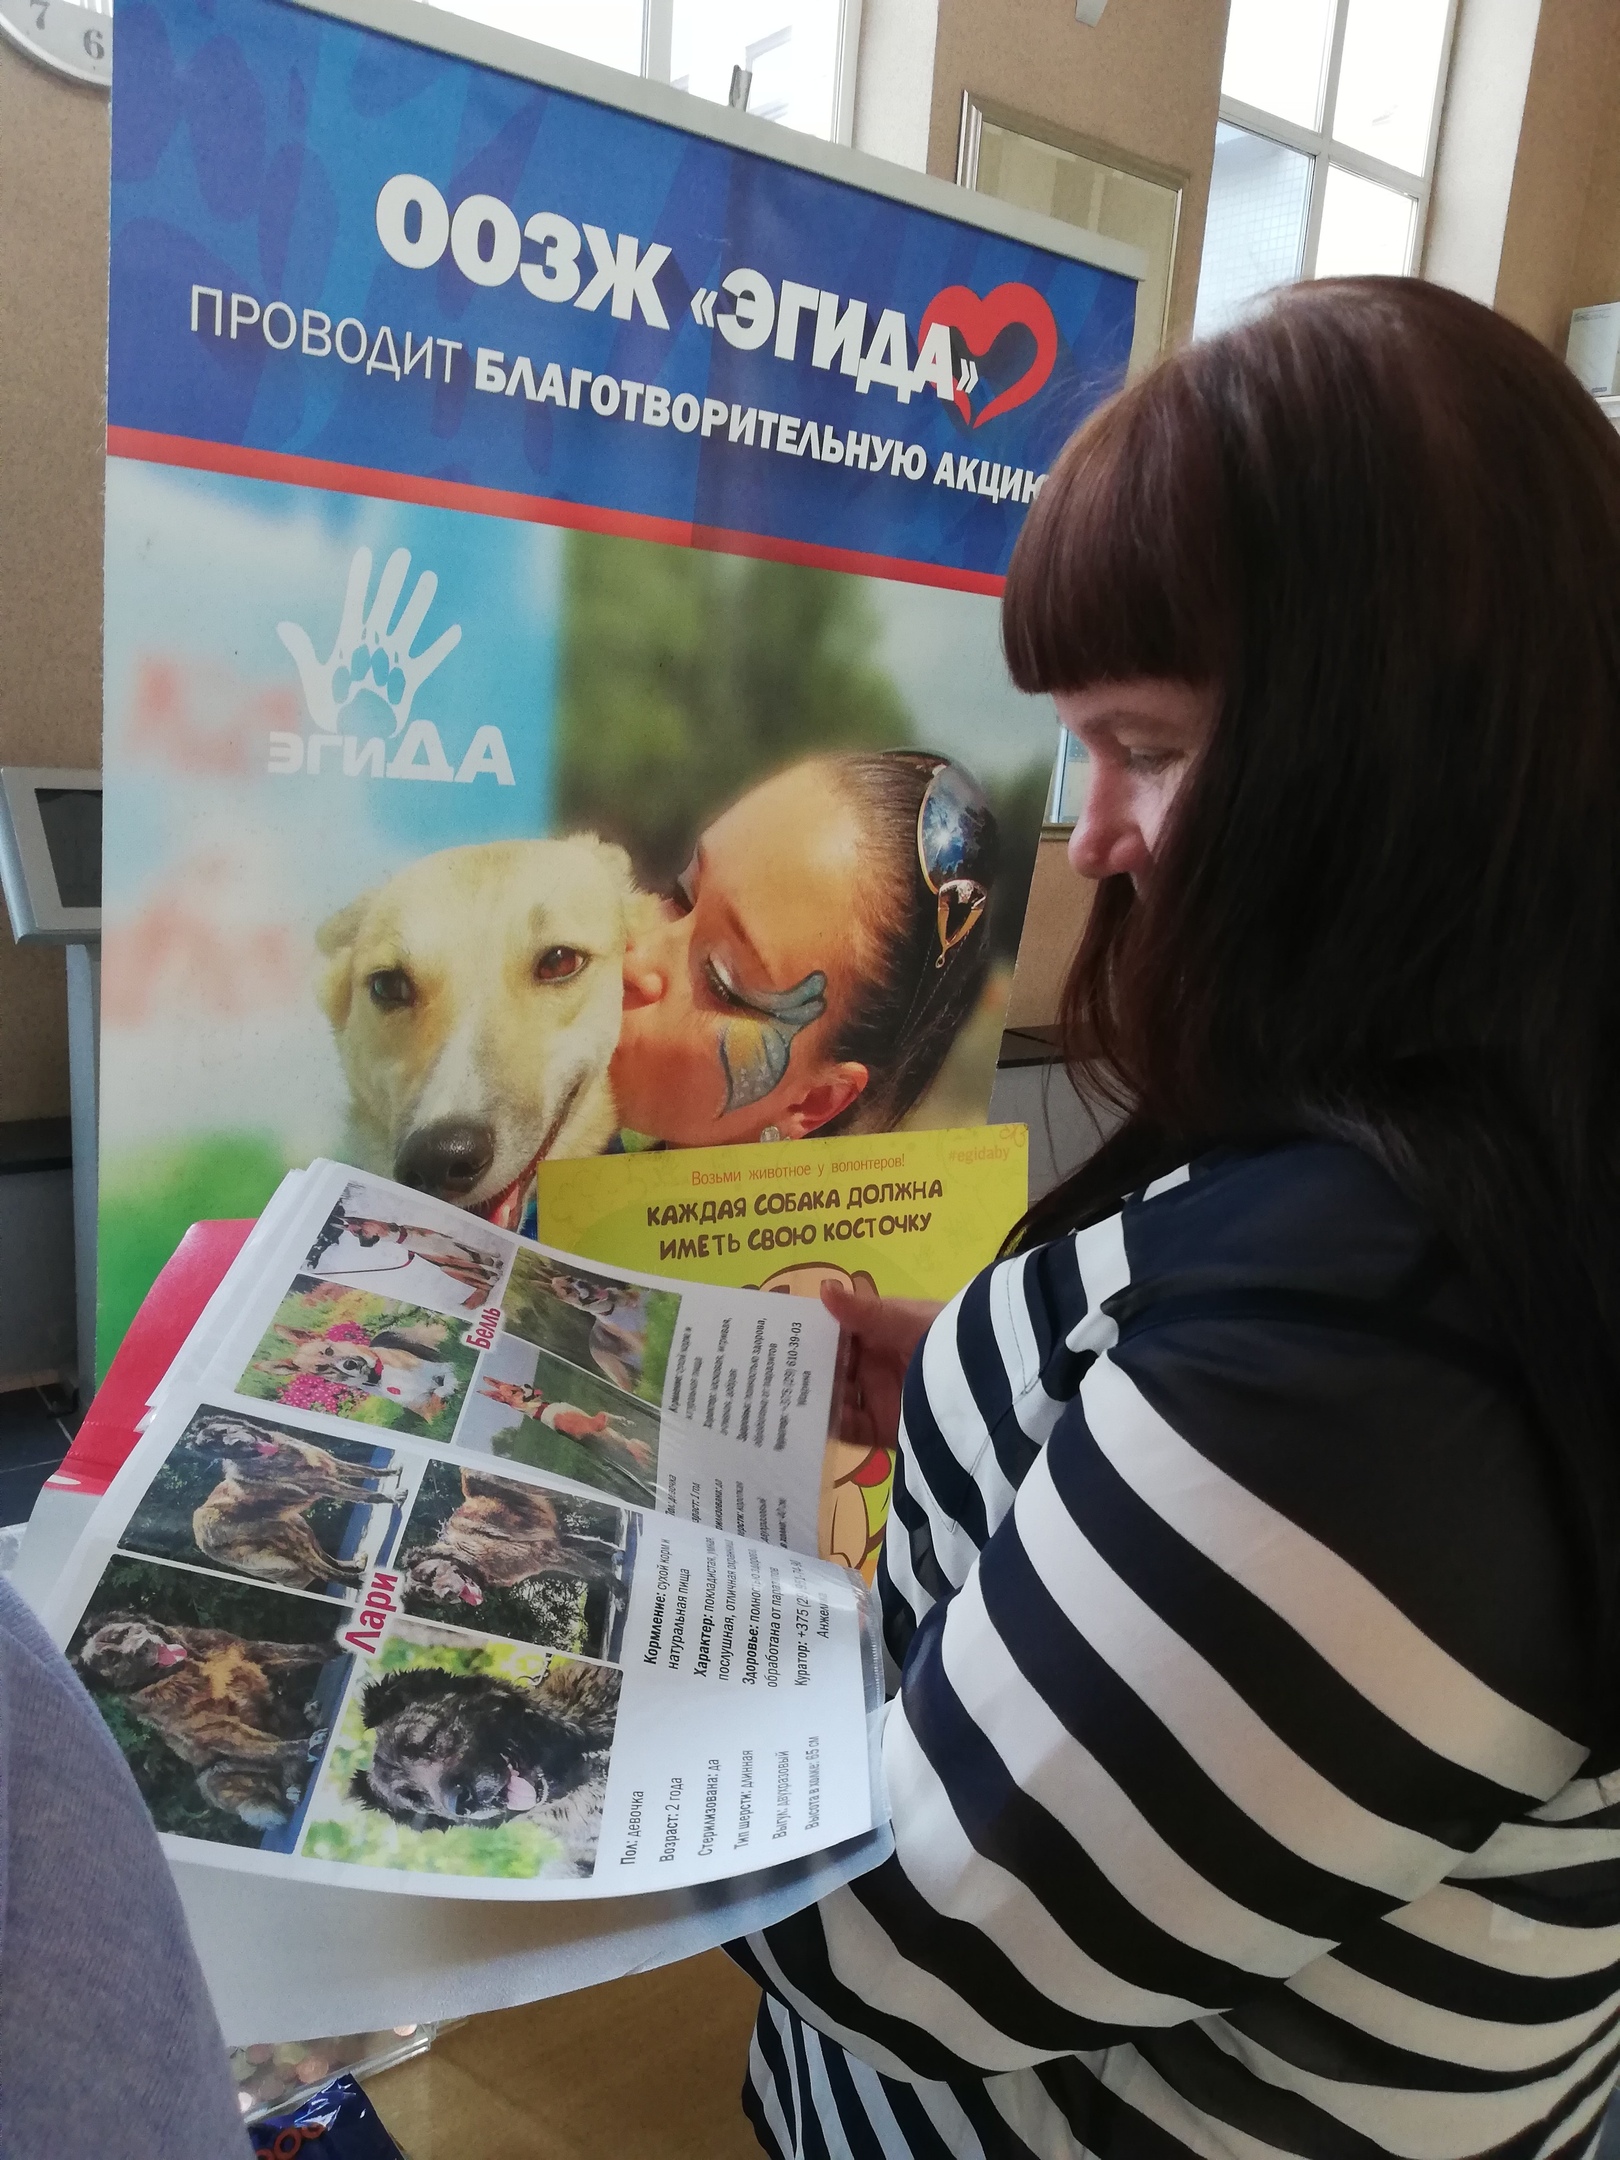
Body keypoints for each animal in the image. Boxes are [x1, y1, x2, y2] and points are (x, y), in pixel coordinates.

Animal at [75, 1614, 330, 1829]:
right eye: (113, 1659)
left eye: (124, 1633)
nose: (142, 1648)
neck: (186, 1669)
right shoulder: (218, 1728)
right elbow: (272, 1747)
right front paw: (306, 1747)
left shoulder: (253, 1650)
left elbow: (308, 1650)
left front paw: (336, 1645)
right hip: (211, 1778)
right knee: (279, 1796)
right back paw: (292, 1788)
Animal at [401, 1468, 619, 1610]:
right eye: (427, 1594)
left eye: (433, 1573)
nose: (445, 1596)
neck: (467, 1553)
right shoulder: (554, 1542)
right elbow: (592, 1545)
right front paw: (616, 1552)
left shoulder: (546, 1553)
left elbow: (600, 1574)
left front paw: (621, 1594)